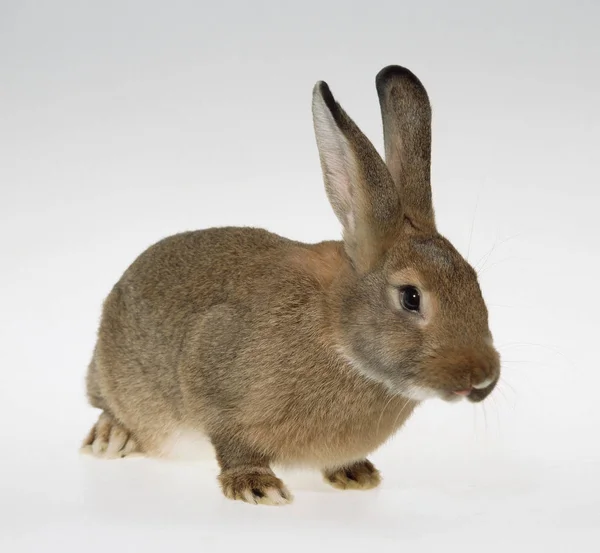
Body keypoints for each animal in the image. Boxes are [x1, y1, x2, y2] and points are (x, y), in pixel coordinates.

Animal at [81, 64, 502, 504]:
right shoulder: (214, 373)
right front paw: (257, 487)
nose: (483, 377)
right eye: (410, 297)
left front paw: (355, 475)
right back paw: (110, 439)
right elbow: (232, 442)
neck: (335, 328)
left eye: (474, 281)